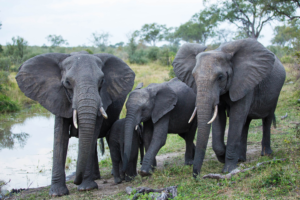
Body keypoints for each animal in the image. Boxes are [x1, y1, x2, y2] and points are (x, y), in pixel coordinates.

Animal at [14, 50, 135, 196]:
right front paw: (57, 193)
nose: (76, 181)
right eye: (67, 82)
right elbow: (60, 136)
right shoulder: (58, 98)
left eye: (102, 81)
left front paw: (86, 188)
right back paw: (95, 177)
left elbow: (92, 132)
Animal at [172, 38, 284, 177]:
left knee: (266, 119)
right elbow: (219, 117)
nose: (195, 175)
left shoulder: (245, 81)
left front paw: (228, 169)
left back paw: (266, 154)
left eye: (220, 77)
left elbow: (236, 117)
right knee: (245, 123)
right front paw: (223, 155)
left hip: (275, 93)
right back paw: (241, 158)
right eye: (193, 77)